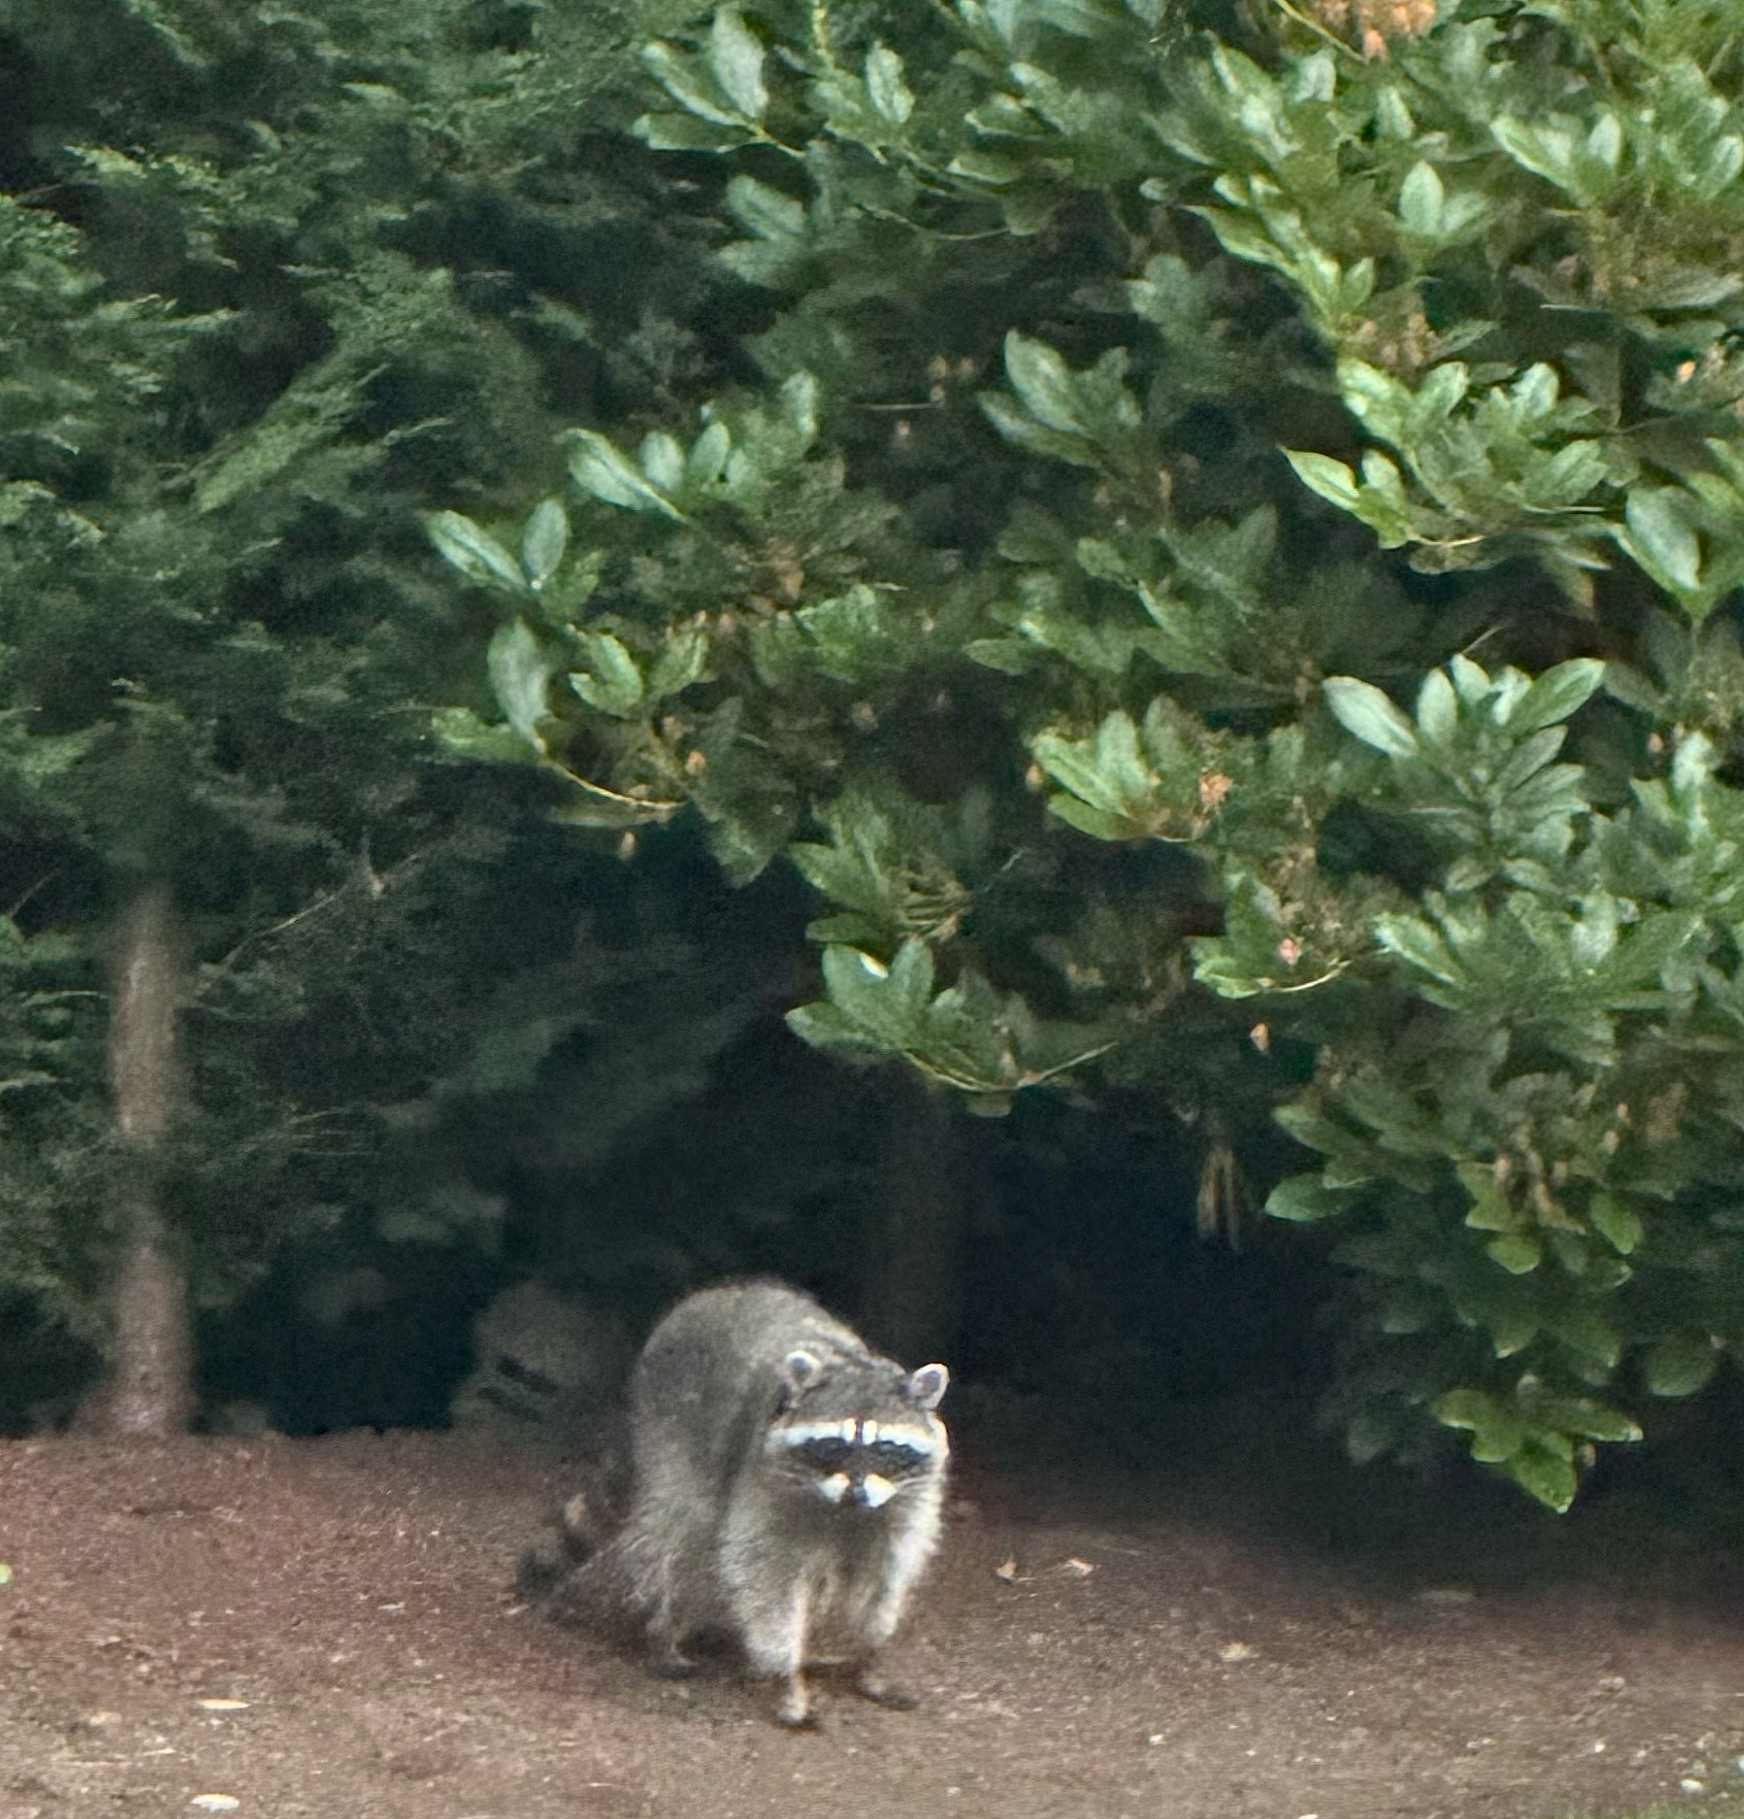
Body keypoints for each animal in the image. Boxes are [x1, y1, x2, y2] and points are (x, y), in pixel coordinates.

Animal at [537, 1280, 949, 1728]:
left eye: (886, 1448)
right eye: (832, 1446)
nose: (856, 1493)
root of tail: (720, 1292)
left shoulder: (904, 1505)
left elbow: (884, 1577)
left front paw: (870, 1653)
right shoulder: (765, 1481)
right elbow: (766, 1573)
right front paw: (788, 1674)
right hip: (672, 1430)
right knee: (687, 1535)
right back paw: (666, 1632)